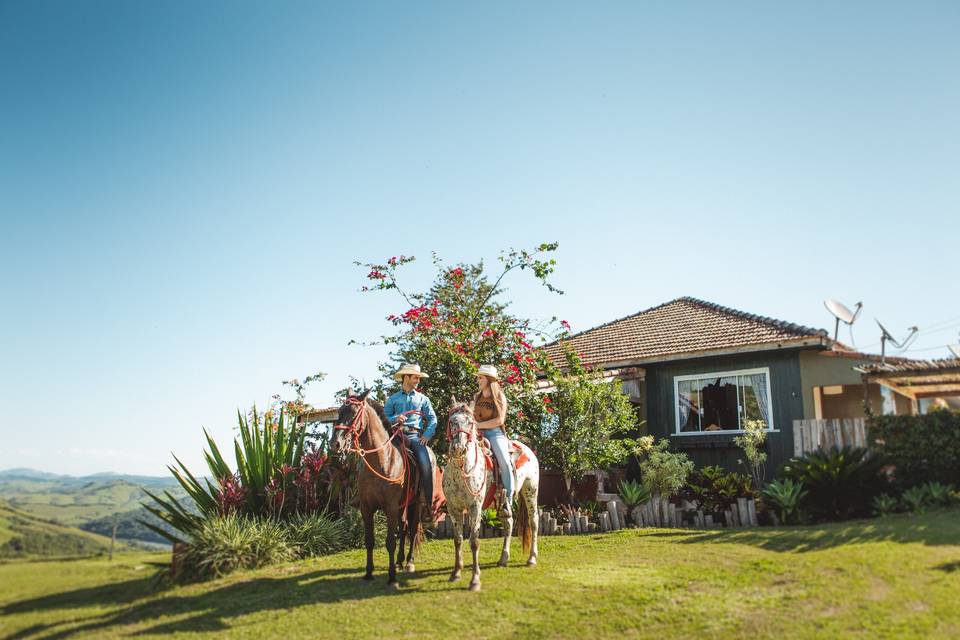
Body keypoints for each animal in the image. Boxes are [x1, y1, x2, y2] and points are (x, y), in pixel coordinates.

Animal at [334, 388, 424, 588]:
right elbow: (369, 540)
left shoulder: (390, 508)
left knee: (412, 530)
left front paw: (391, 578)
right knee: (404, 528)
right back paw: (399, 561)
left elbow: (390, 541)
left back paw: (409, 562)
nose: (335, 443)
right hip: (402, 507)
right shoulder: (366, 508)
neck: (382, 460)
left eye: (354, 413)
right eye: (339, 412)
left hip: (415, 505)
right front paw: (368, 573)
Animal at [442, 398, 540, 592]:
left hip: (531, 491)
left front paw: (475, 580)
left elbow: (474, 541)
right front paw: (456, 573)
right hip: (501, 503)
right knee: (509, 524)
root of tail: (527, 449)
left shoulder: (475, 507)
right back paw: (503, 559)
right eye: (452, 421)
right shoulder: (453, 508)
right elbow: (458, 540)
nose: (458, 448)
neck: (461, 472)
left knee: (534, 522)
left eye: (470, 422)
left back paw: (532, 558)